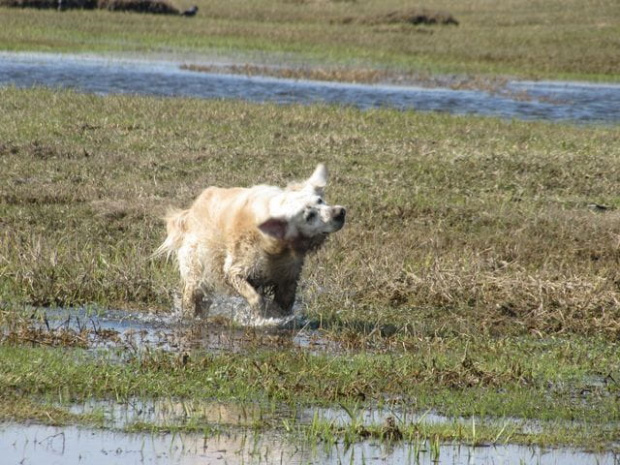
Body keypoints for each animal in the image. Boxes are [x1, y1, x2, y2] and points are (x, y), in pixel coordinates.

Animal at [154, 164, 346, 320]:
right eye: (309, 216)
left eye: (320, 200)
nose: (340, 212)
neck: (278, 246)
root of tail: (190, 212)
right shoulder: (235, 270)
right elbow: (256, 298)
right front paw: (264, 316)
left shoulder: (289, 276)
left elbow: (285, 303)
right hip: (197, 268)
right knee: (193, 295)